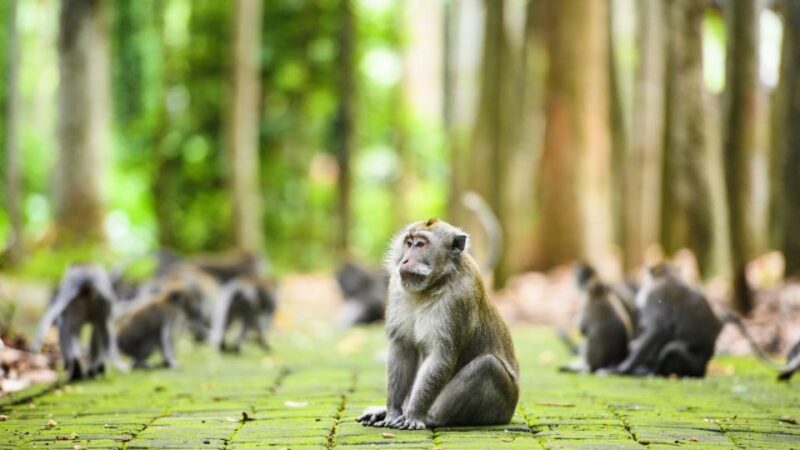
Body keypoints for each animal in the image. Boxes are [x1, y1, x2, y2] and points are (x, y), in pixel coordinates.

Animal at [357, 219, 519, 430]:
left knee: (488, 366)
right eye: (408, 243)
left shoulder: (457, 298)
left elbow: (440, 356)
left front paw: (413, 415)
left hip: (502, 404)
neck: (431, 285)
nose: (405, 260)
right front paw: (391, 412)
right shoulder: (396, 288)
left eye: (420, 244)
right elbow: (402, 349)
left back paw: (430, 417)